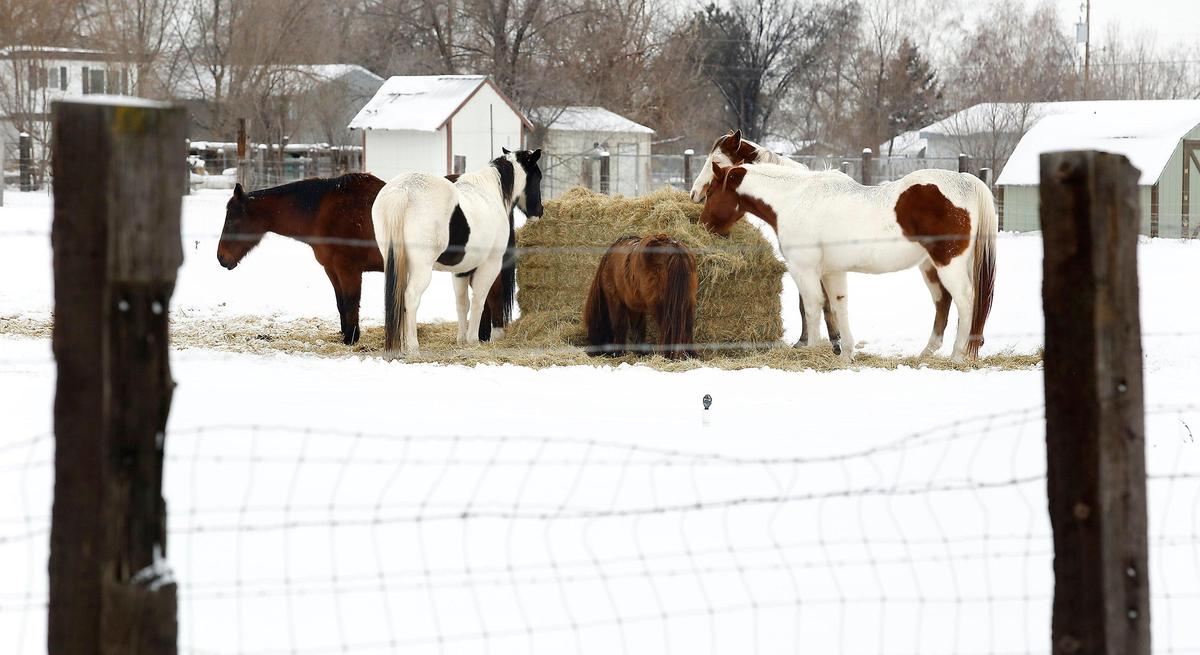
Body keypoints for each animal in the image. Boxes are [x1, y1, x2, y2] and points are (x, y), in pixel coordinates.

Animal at [216, 174, 514, 346]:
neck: (323, 210)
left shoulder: (348, 270)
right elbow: (341, 305)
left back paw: (488, 336)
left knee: (493, 295)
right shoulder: (332, 270)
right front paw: (347, 334)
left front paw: (351, 338)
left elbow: (350, 302)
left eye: (232, 221)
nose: (221, 258)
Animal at [373, 148, 542, 357]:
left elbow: (462, 304)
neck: (490, 193)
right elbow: (479, 300)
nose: (539, 211)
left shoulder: (461, 270)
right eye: (538, 177)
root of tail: (402, 190)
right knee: (411, 297)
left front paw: (461, 339)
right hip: (421, 268)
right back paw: (413, 347)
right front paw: (472, 340)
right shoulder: (490, 265)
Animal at [700, 161, 997, 362]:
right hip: (931, 267)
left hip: (948, 264)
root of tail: (965, 181)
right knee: (944, 302)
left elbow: (812, 307)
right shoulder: (833, 271)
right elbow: (837, 307)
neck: (794, 200)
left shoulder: (804, 270)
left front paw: (811, 351)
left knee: (965, 300)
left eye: (711, 191)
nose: (703, 225)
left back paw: (957, 355)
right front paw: (845, 354)